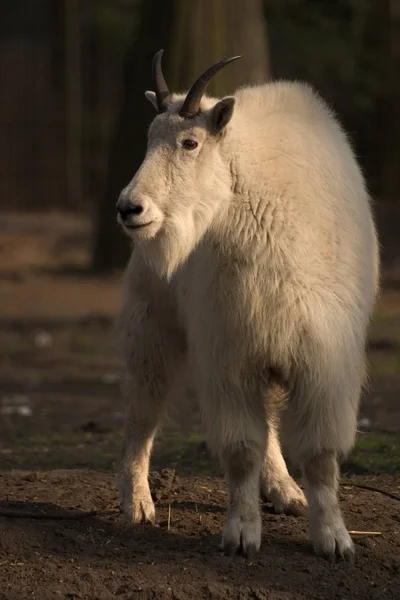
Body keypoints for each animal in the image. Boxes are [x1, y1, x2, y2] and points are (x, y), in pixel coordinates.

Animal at [115, 49, 378, 560]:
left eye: (190, 142)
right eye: (150, 138)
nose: (129, 208)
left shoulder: (320, 359)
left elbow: (320, 455)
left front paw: (333, 538)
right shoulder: (230, 354)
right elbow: (240, 450)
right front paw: (241, 533)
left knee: (269, 423)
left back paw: (286, 492)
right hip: (151, 326)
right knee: (141, 410)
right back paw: (136, 504)